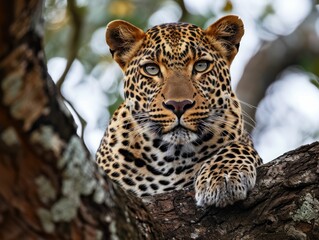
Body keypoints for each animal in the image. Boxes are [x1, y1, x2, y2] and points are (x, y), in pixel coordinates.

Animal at [96, 14, 264, 208]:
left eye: (201, 66)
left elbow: (238, 147)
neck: (169, 157)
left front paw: (223, 176)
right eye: (151, 69)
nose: (178, 105)